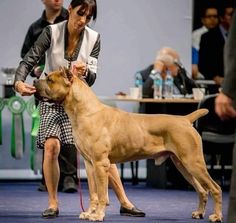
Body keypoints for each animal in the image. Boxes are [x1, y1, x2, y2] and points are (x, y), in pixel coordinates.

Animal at [34, 67, 222, 222]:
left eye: (50, 79)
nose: (35, 81)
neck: (84, 111)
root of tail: (185, 119)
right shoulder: (89, 164)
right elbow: (94, 193)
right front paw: (89, 213)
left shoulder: (101, 164)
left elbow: (102, 194)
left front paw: (98, 215)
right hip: (182, 164)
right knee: (202, 190)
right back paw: (199, 213)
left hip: (193, 162)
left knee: (215, 188)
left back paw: (217, 216)